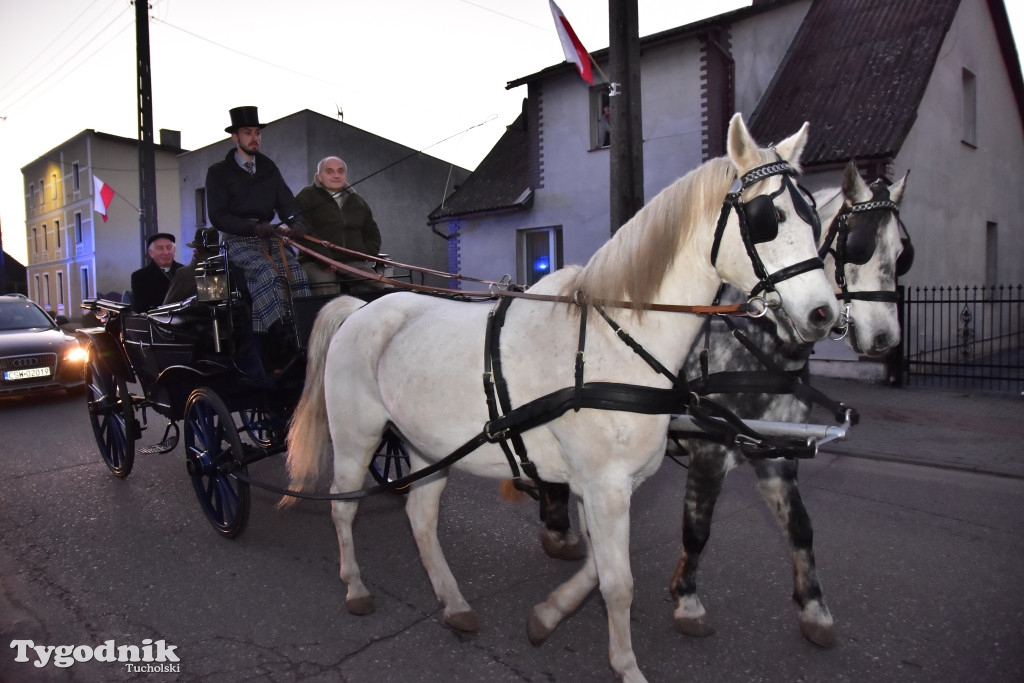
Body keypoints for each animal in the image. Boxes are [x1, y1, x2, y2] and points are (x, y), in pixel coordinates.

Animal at [282, 114, 839, 679]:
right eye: (769, 217)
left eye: (816, 220)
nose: (824, 313)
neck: (611, 343)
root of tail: (358, 308)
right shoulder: (605, 485)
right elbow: (618, 584)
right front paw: (626, 665)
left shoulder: (603, 486)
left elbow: (597, 568)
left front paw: (547, 616)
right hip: (357, 439)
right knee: (343, 507)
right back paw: (355, 586)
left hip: (426, 445)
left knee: (420, 515)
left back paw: (454, 603)